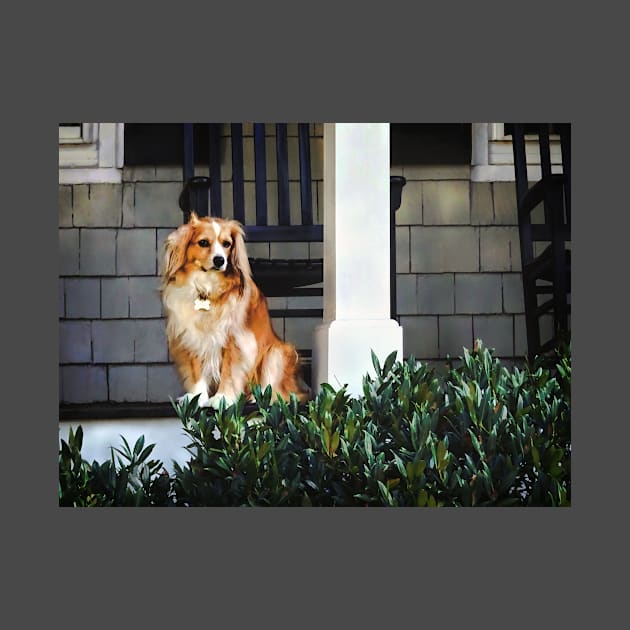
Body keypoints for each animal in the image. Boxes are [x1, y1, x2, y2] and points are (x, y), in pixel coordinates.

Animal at [162, 212, 312, 410]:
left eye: (227, 244)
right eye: (203, 242)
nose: (220, 260)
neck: (208, 288)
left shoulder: (236, 339)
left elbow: (229, 370)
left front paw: (222, 397)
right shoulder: (191, 336)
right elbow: (196, 371)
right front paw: (196, 397)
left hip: (277, 353)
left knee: (280, 391)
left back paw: (260, 397)